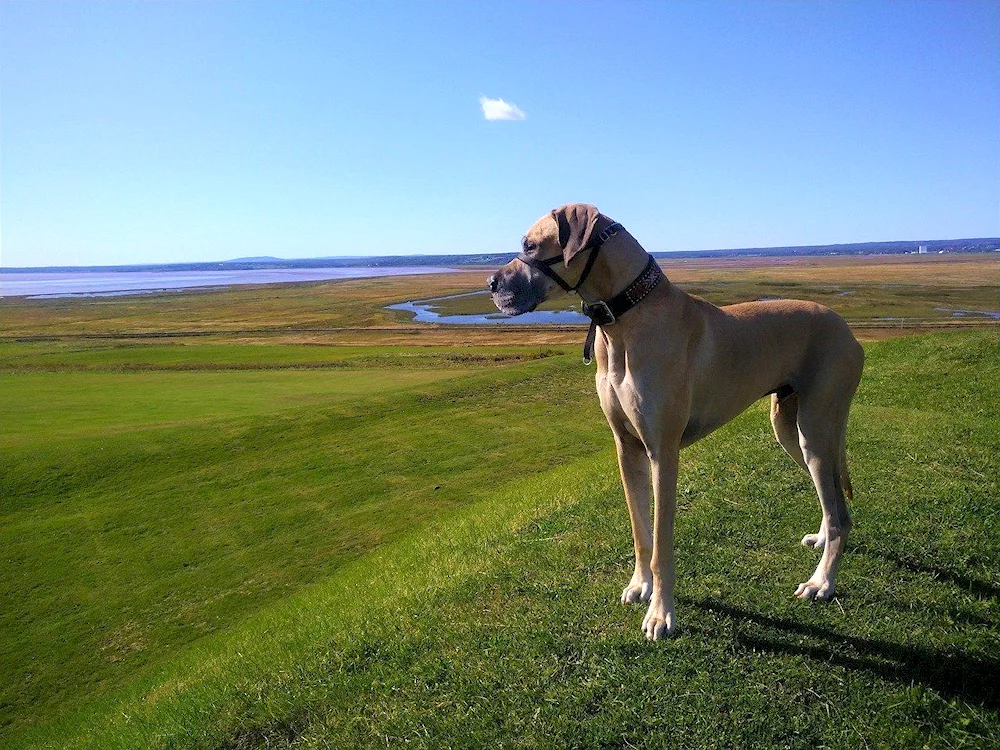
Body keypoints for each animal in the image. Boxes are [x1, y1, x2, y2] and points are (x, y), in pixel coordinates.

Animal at [488, 204, 864, 640]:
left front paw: (660, 613)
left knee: (840, 516)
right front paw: (640, 586)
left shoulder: (662, 453)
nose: (491, 283)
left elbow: (661, 542)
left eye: (530, 245)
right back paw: (820, 539)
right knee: (831, 501)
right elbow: (640, 532)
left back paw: (822, 582)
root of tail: (847, 329)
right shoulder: (627, 448)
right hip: (789, 427)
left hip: (815, 430)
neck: (624, 321)